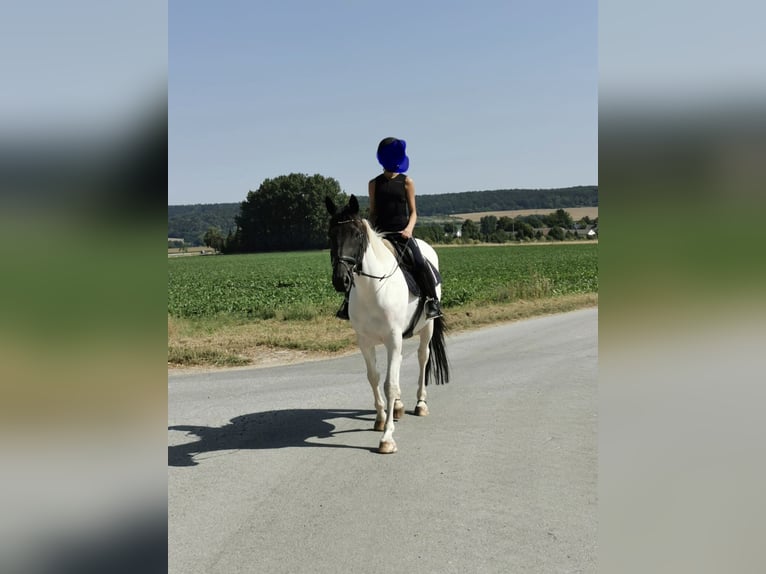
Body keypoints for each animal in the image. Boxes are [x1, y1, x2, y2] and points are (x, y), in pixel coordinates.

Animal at [325, 194, 449, 454]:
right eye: (331, 234)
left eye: (357, 235)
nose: (341, 280)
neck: (373, 288)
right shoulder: (365, 341)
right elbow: (374, 377)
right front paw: (381, 419)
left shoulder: (393, 337)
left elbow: (389, 384)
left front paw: (387, 438)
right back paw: (400, 406)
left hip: (427, 327)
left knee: (422, 357)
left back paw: (420, 403)